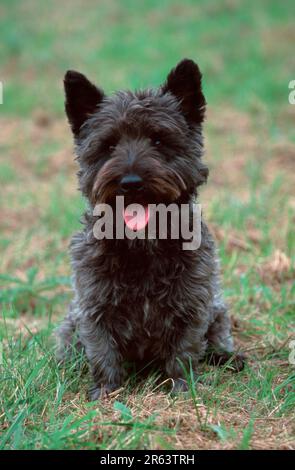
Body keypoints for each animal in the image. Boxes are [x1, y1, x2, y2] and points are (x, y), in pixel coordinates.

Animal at [56, 57, 246, 398]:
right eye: (109, 145)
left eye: (158, 140)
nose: (131, 182)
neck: (143, 244)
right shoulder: (92, 307)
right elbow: (102, 350)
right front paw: (106, 391)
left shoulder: (193, 304)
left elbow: (184, 349)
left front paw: (181, 387)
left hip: (216, 308)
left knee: (216, 336)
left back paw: (226, 357)